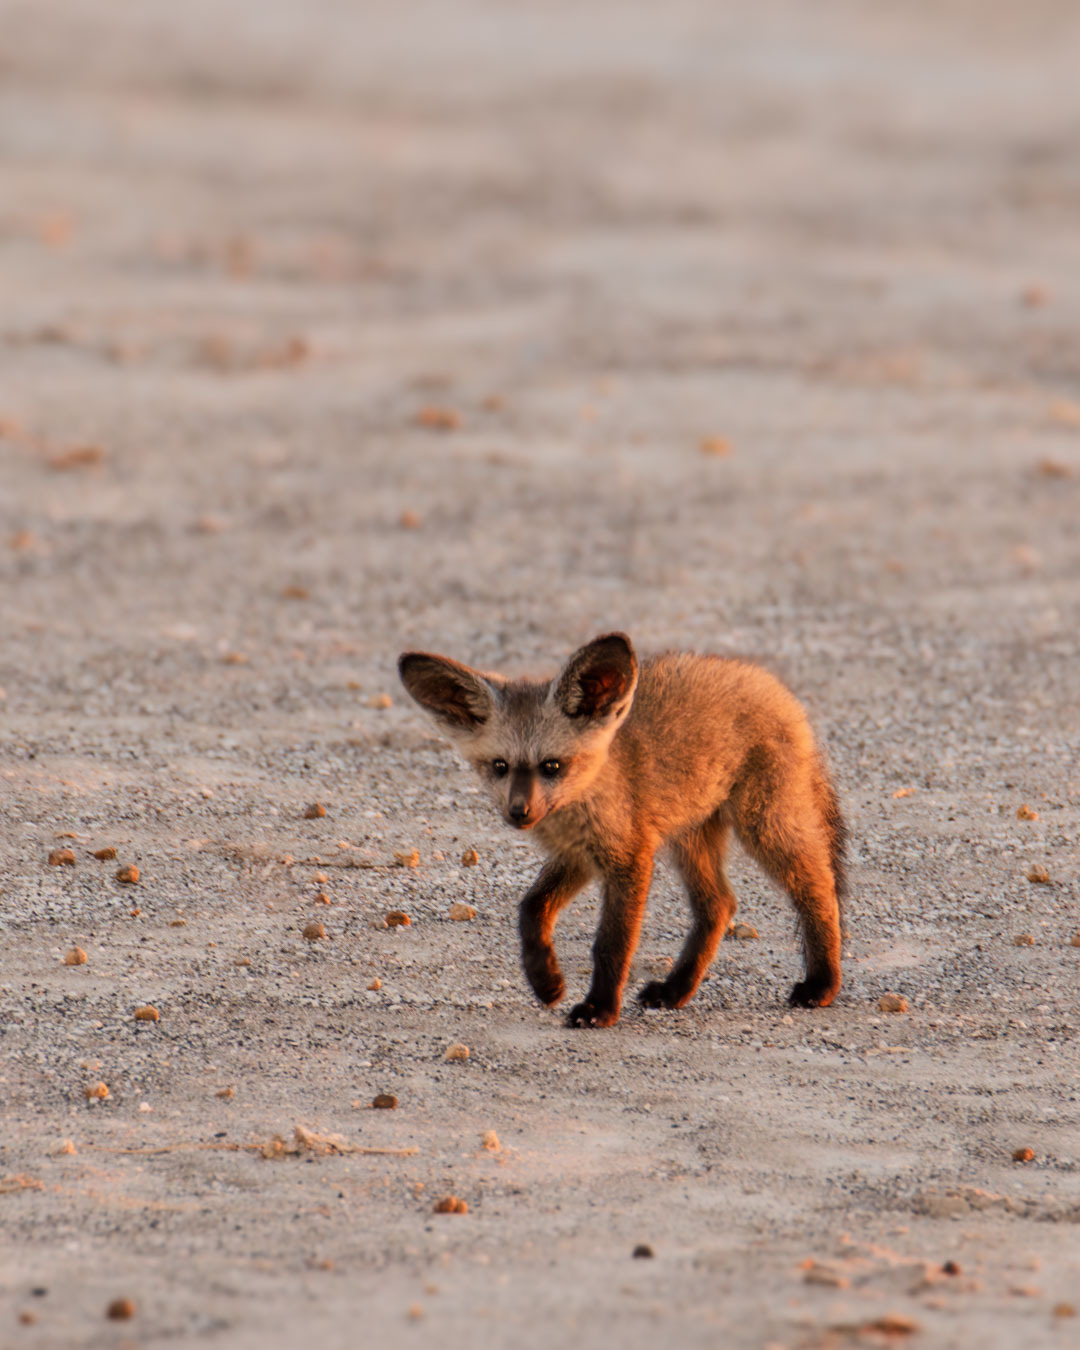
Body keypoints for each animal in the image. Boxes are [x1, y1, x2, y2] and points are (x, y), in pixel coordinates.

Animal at [397, 632, 846, 1028]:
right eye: (500, 766)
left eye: (551, 766)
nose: (519, 813)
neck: (582, 802)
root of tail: (772, 685)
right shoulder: (578, 856)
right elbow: (531, 910)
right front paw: (546, 982)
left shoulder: (627, 857)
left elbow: (611, 944)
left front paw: (599, 1009)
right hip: (689, 837)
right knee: (719, 904)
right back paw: (675, 991)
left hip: (763, 824)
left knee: (818, 886)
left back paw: (822, 984)